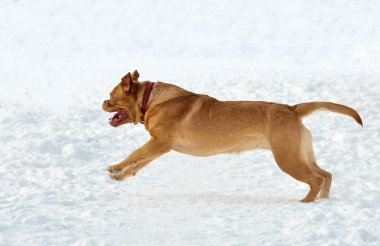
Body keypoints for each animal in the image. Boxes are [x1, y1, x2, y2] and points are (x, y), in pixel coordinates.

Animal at [101, 69, 362, 202]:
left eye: (111, 96)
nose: (102, 102)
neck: (150, 101)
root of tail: (292, 108)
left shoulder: (159, 143)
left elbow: (134, 154)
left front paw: (115, 167)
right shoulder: (159, 147)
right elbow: (138, 164)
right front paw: (120, 175)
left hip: (287, 158)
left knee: (316, 179)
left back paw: (306, 202)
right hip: (301, 154)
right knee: (326, 174)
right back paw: (323, 200)